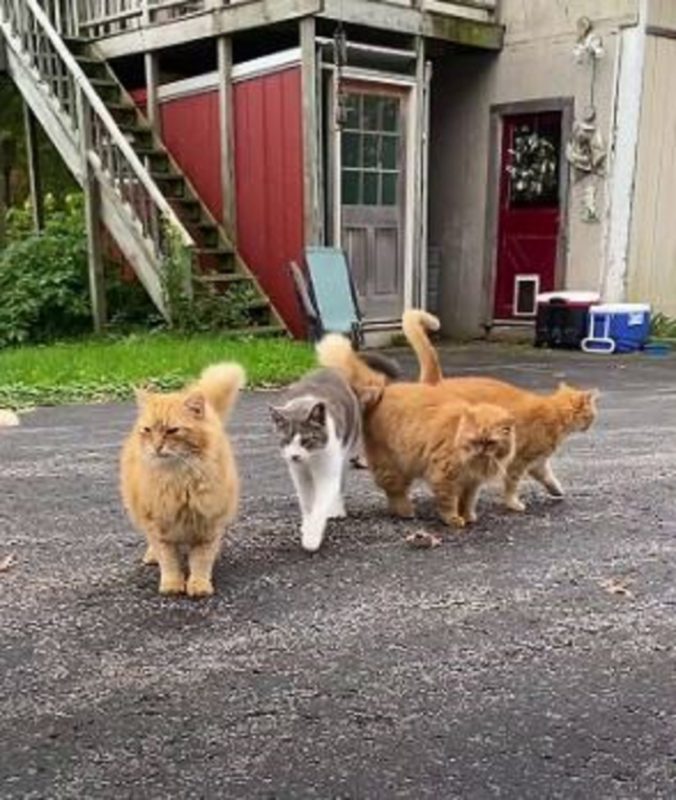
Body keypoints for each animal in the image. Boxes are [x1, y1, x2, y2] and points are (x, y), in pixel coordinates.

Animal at [119, 360, 246, 592]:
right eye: (148, 430)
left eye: (172, 431)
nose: (156, 447)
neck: (179, 480)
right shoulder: (158, 526)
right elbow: (168, 561)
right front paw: (172, 585)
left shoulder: (208, 528)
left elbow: (201, 562)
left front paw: (199, 585)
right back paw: (151, 557)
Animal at [270, 368, 364, 552]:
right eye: (286, 440)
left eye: (307, 440)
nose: (294, 456)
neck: (310, 460)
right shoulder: (300, 475)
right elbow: (307, 502)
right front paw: (306, 527)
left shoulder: (328, 463)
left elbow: (321, 503)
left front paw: (312, 538)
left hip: (345, 448)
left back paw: (337, 509)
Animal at [314, 334, 516, 528]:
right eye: (474, 439)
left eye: (491, 442)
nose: (480, 450)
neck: (475, 463)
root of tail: (385, 388)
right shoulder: (445, 476)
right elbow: (449, 502)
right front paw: (454, 520)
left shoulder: (472, 484)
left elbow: (466, 502)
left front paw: (468, 516)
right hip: (394, 465)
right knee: (394, 492)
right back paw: (406, 512)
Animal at [402, 310, 596, 510]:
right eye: (591, 415)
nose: (590, 424)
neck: (555, 413)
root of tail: (435, 382)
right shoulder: (518, 461)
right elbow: (512, 484)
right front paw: (513, 503)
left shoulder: (538, 463)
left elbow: (549, 478)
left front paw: (557, 491)